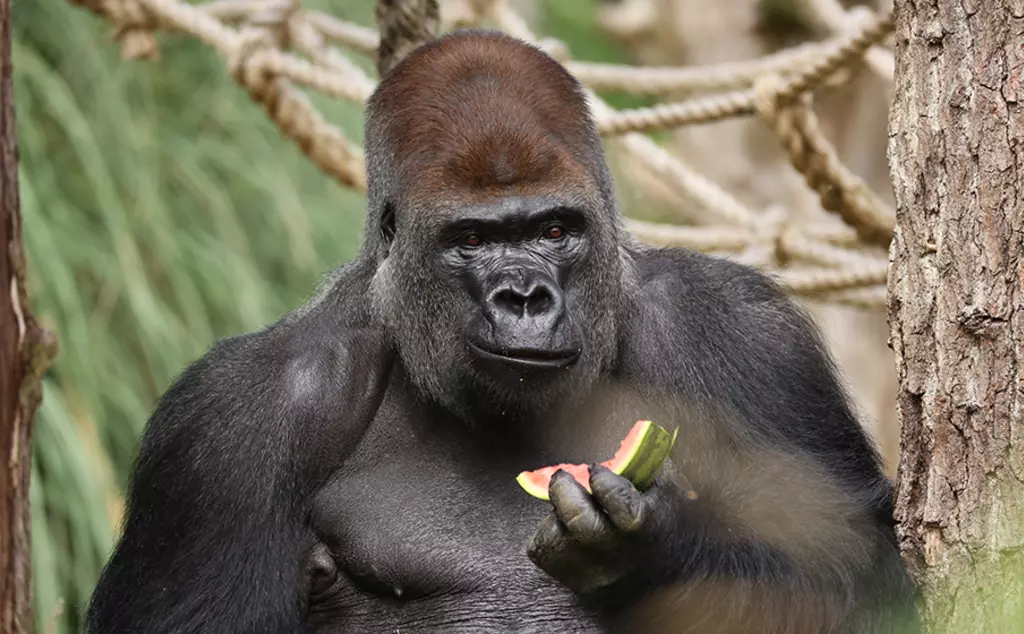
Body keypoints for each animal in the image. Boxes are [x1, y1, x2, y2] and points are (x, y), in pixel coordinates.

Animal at [86, 29, 921, 634]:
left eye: (554, 230)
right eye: (473, 240)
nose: (525, 297)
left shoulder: (748, 340)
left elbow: (866, 576)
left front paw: (652, 552)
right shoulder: (228, 424)